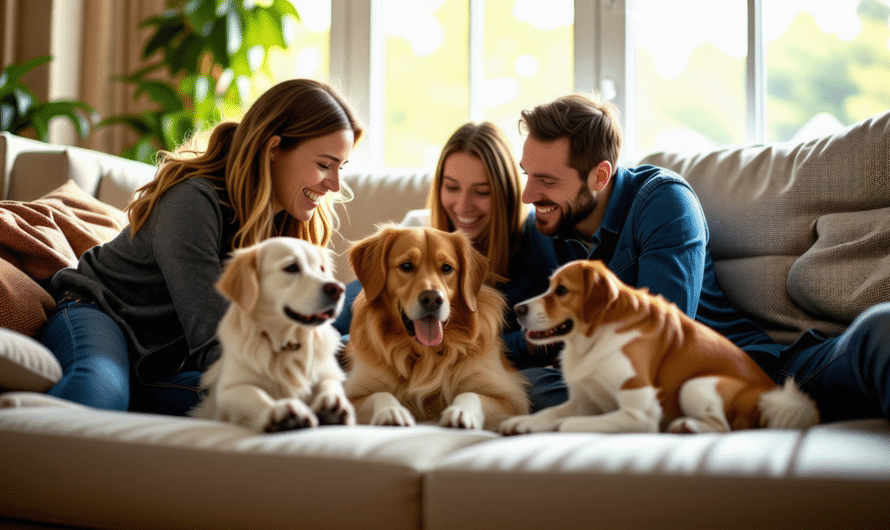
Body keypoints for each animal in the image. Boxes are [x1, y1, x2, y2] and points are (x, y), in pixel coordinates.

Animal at [191, 237, 354, 432]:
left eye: (321, 269)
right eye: (291, 267)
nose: (338, 289)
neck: (287, 344)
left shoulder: (329, 372)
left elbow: (329, 384)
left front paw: (332, 405)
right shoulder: (229, 388)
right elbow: (254, 395)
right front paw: (280, 411)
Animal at [346, 224, 528, 428]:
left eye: (447, 268)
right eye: (406, 266)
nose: (432, 299)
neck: (427, 354)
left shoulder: (512, 398)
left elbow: (470, 394)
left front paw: (460, 412)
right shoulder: (353, 393)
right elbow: (380, 393)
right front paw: (391, 411)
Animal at [496, 260, 816, 434]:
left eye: (561, 290)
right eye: (549, 286)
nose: (517, 308)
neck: (592, 340)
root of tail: (771, 395)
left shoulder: (641, 413)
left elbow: (564, 423)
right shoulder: (585, 400)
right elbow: (550, 413)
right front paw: (525, 422)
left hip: (696, 384)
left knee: (723, 427)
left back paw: (687, 427)